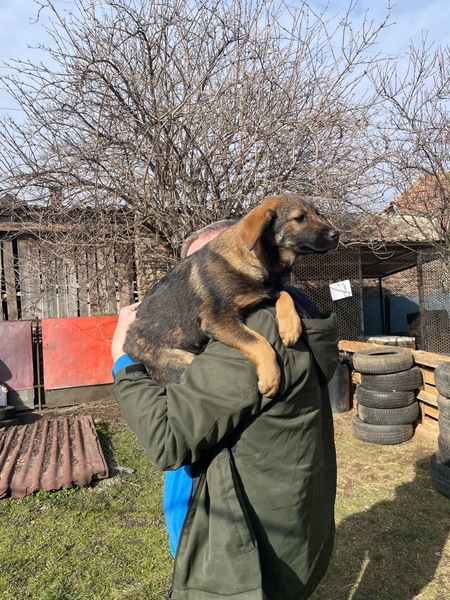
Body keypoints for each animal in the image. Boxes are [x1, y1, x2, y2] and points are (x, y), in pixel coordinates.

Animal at [124, 194, 339, 397]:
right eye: (300, 217)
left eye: (318, 213)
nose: (336, 234)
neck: (255, 260)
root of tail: (129, 345)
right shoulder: (217, 320)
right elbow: (258, 341)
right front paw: (271, 378)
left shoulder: (267, 290)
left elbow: (285, 294)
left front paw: (290, 327)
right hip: (179, 361)